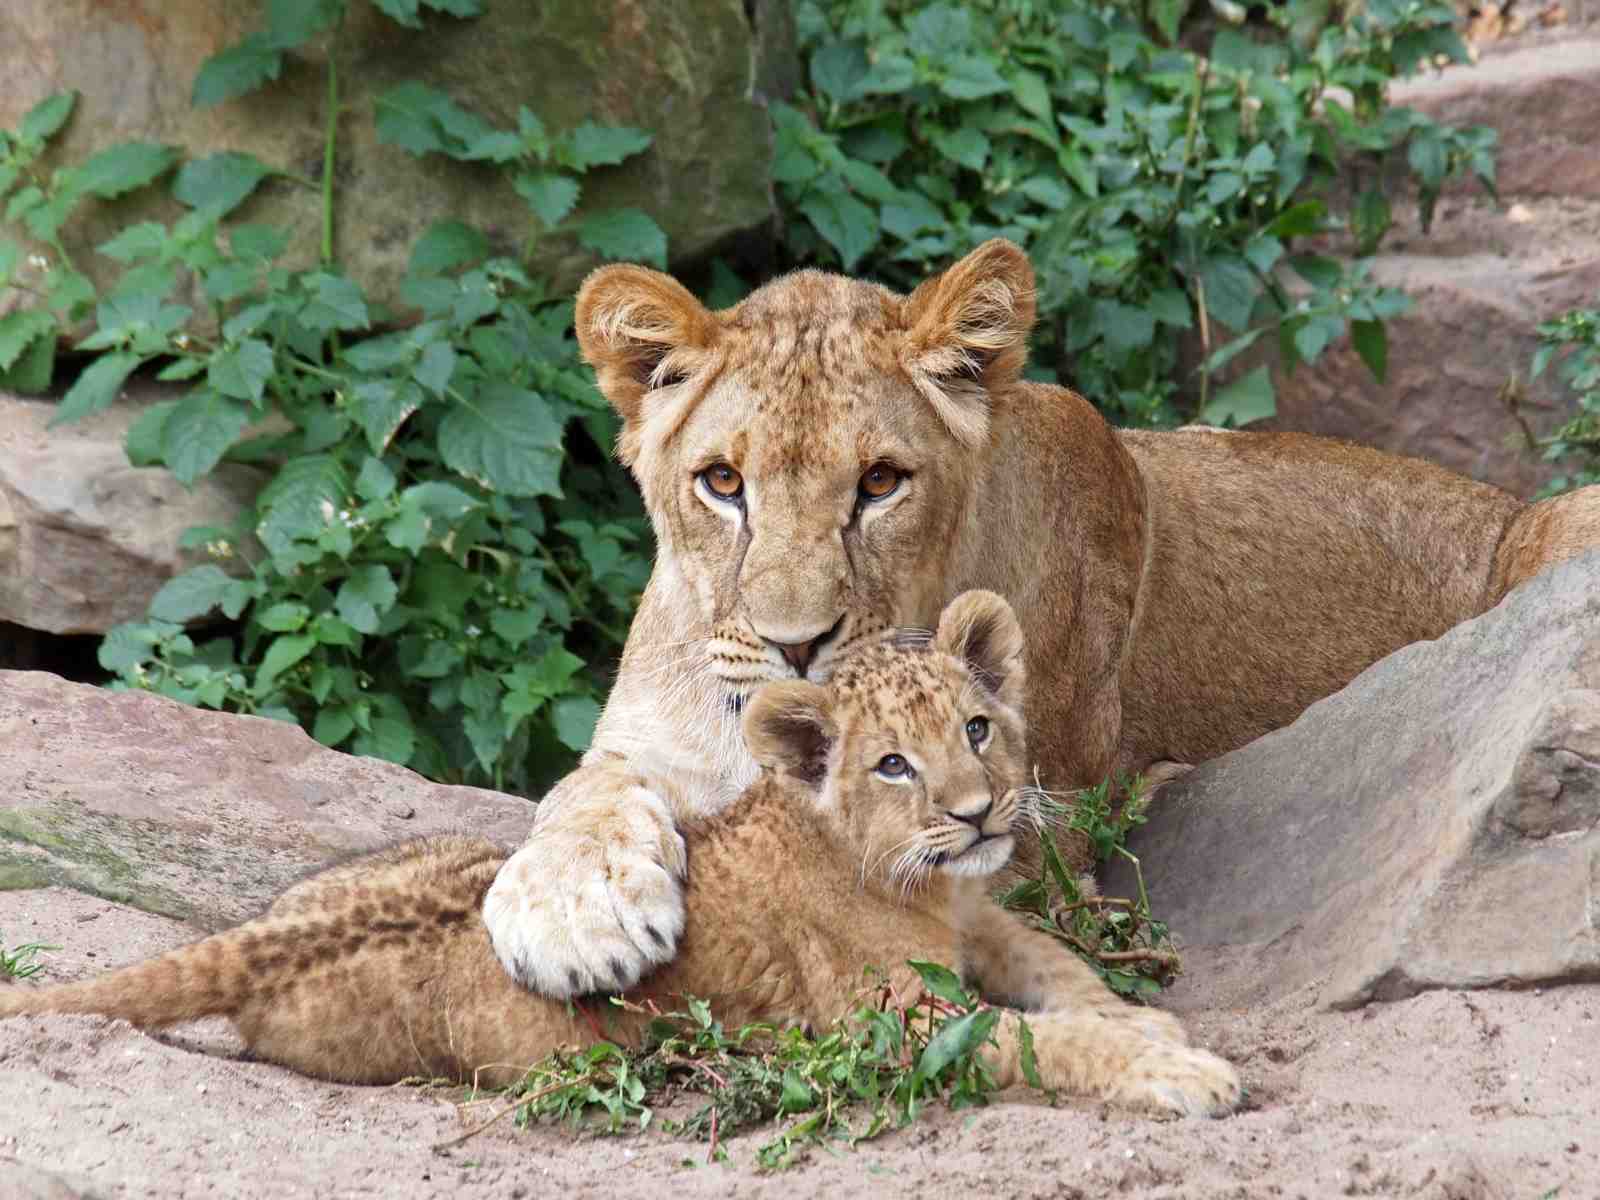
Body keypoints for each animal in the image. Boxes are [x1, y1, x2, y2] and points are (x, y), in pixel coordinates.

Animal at [0, 592, 1241, 1116]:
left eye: (977, 728)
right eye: (892, 764)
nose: (982, 813)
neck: (917, 884)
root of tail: (267, 936)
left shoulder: (982, 918)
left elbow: (1062, 976)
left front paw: (1144, 1023)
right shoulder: (896, 1026)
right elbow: (1038, 1040)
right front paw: (1177, 1070)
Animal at [482, 238, 1600, 1001]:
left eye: (881, 482)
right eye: (722, 483)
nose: (797, 645)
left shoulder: (1027, 829)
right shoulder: (644, 742)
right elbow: (576, 795)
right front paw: (575, 912)